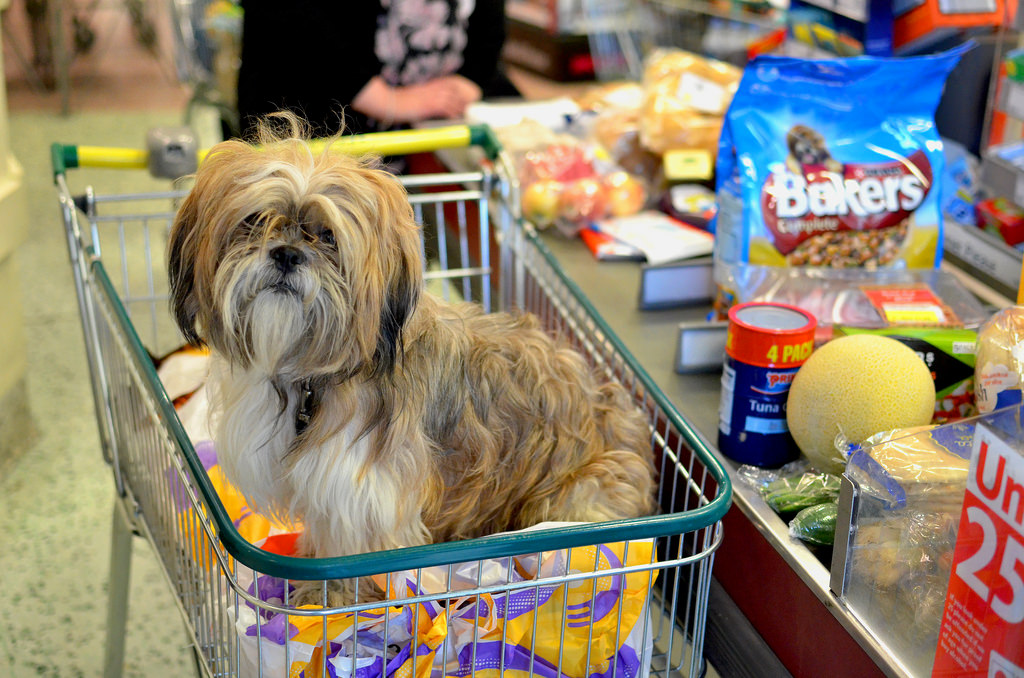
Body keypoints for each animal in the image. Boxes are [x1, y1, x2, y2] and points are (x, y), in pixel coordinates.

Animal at [163, 112, 651, 594]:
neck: (312, 376)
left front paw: (332, 599)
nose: (286, 254)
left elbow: (348, 563)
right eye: (255, 219)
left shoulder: (364, 498)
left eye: (328, 237)